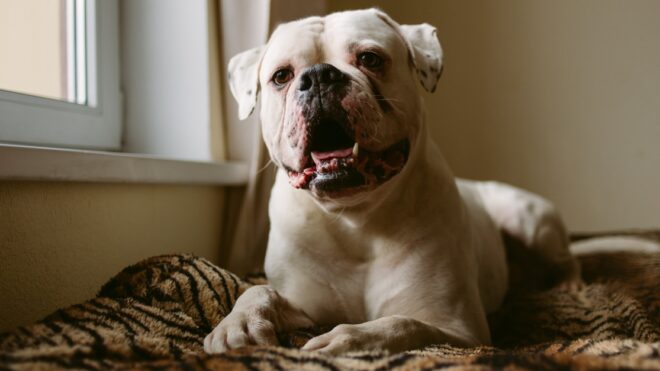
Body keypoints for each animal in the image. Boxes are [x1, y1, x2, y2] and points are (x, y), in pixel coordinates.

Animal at [204, 8, 580, 356]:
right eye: (281, 76)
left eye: (370, 58)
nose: (319, 75)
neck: (354, 218)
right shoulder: (304, 307)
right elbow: (258, 290)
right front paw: (239, 324)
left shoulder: (457, 327)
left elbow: (400, 324)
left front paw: (344, 341)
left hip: (529, 219)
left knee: (566, 259)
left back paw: (566, 285)